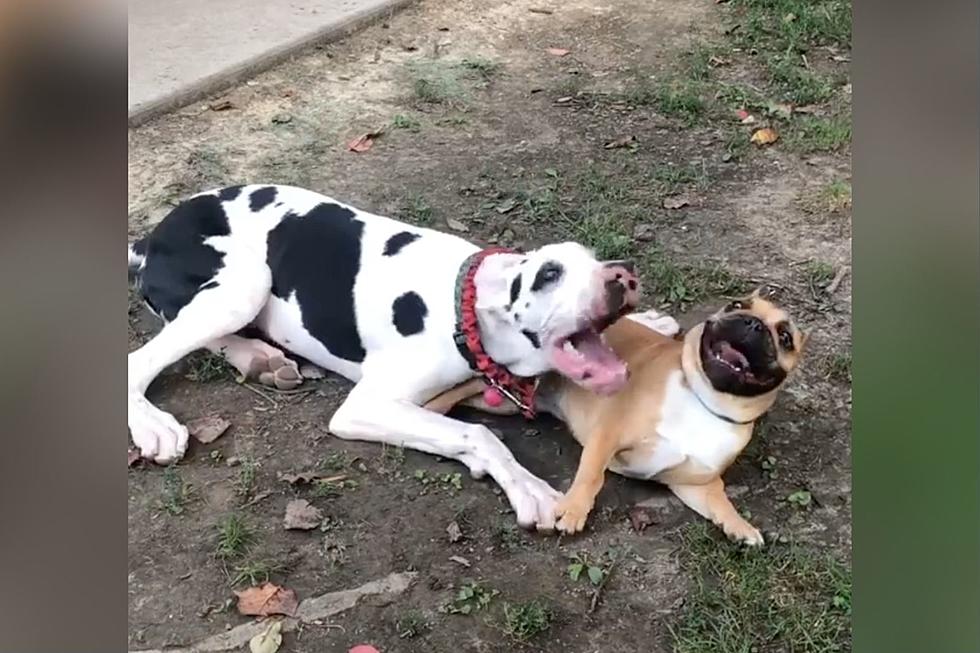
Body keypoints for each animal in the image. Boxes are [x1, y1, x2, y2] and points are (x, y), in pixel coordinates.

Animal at [126, 181, 640, 528]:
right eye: (549, 274)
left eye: (594, 258)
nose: (623, 275)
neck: (464, 306)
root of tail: (150, 236)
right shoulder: (365, 407)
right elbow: (479, 434)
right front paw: (526, 485)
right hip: (245, 282)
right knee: (140, 361)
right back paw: (154, 425)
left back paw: (258, 358)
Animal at [424, 292, 808, 544]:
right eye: (736, 305)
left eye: (785, 337)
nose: (752, 324)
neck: (704, 399)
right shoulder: (608, 436)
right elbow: (591, 476)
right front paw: (573, 510)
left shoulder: (696, 484)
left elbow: (722, 503)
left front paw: (740, 526)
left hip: (504, 401)